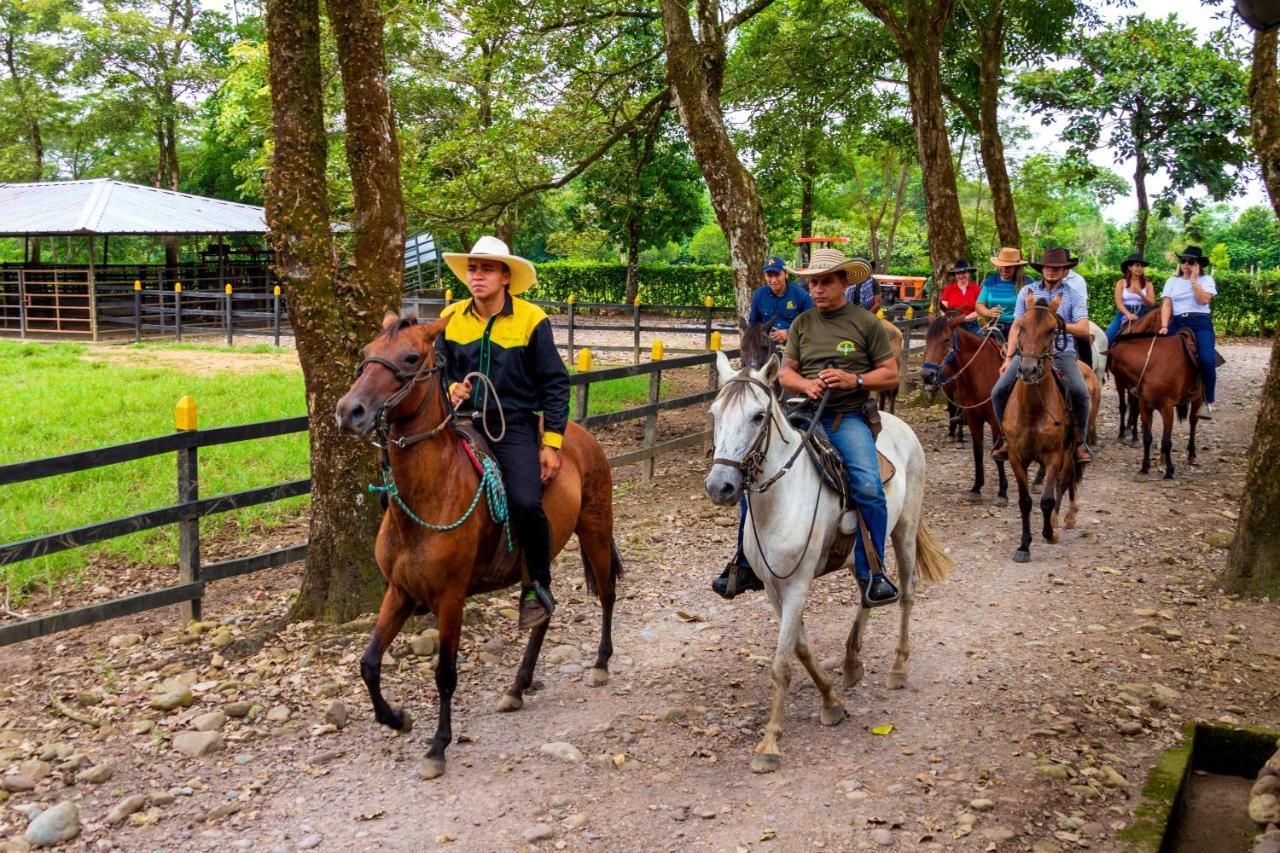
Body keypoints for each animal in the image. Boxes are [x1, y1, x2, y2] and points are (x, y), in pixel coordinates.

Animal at [337, 311, 622, 778]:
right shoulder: (398, 592)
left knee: (609, 594)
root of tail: (578, 436)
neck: (431, 494)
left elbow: (445, 674)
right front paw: (396, 718)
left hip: (596, 529)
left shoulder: (451, 599)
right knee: (542, 613)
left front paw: (437, 746)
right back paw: (517, 687)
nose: (349, 411)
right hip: (536, 564)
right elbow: (369, 663)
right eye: (366, 352)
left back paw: (599, 664)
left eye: (411, 357)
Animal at [701, 348, 952, 773]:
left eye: (758, 416)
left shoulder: (798, 584)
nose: (721, 486)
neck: (781, 500)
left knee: (906, 593)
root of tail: (898, 423)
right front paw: (831, 701)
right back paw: (851, 663)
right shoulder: (774, 588)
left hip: (904, 530)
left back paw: (898, 667)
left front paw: (769, 744)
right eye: (715, 413)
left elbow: (782, 662)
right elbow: (801, 649)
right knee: (869, 591)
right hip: (860, 555)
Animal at [921, 308, 1008, 502]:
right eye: (926, 340)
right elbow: (978, 452)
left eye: (946, 340)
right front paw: (976, 487)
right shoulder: (973, 418)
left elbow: (996, 453)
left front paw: (1002, 492)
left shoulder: (995, 421)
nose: (927, 374)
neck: (981, 372)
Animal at [998, 295, 1100, 560]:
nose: (1028, 370)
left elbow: (1047, 498)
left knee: (1065, 481)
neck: (1033, 409)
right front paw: (1023, 546)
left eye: (1053, 330)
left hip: (1071, 448)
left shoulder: (1054, 456)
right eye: (1022, 326)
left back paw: (1064, 517)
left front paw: (1049, 534)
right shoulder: (1016, 457)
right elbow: (1025, 502)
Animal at [1105, 307, 1203, 479]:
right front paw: (1145, 465)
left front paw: (1169, 469)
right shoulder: (1143, 402)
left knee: (1193, 422)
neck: (1151, 365)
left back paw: (1191, 453)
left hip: (1197, 398)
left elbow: (1166, 440)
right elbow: (1147, 435)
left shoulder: (1166, 407)